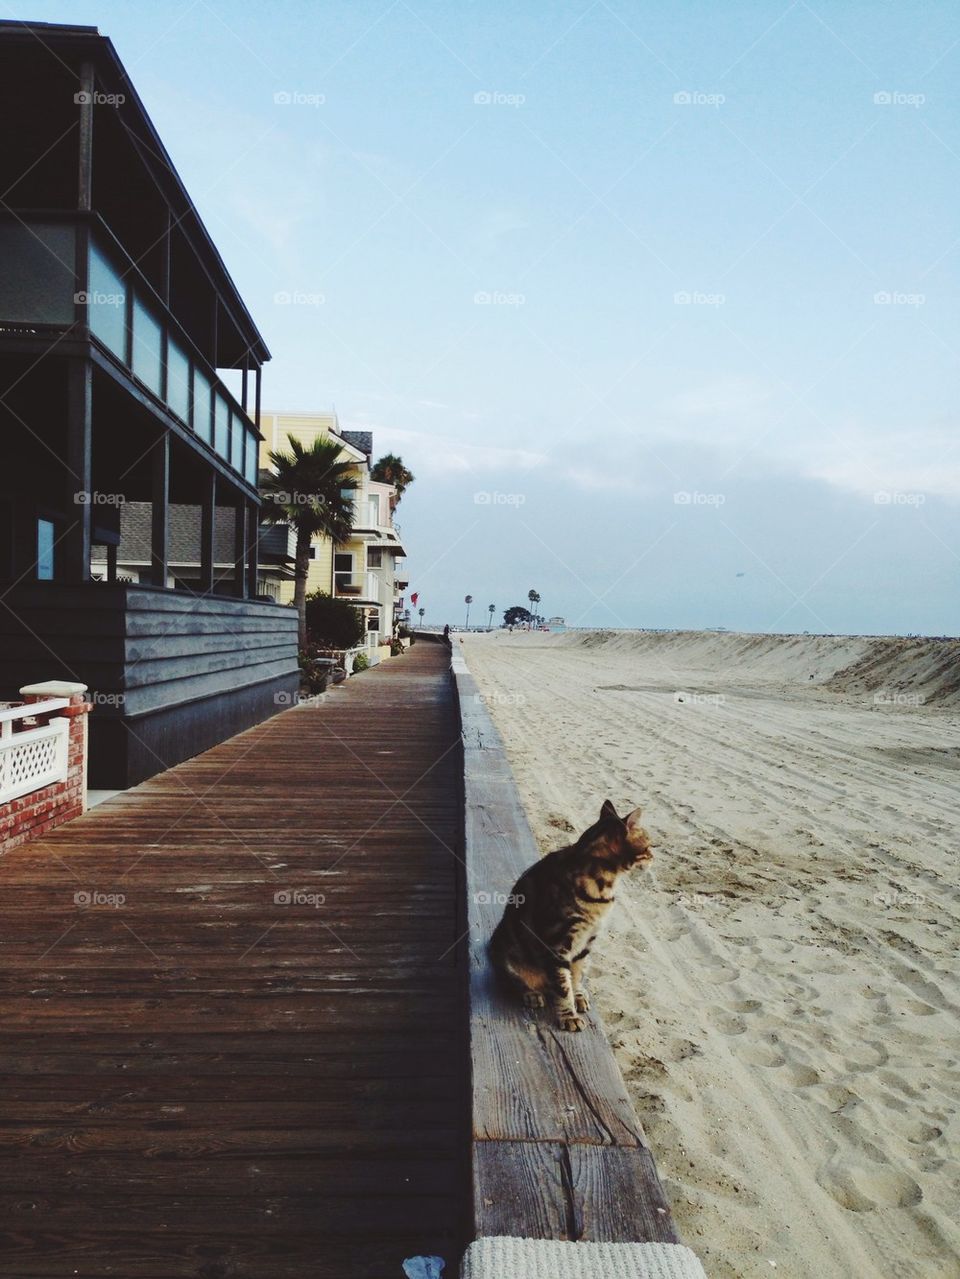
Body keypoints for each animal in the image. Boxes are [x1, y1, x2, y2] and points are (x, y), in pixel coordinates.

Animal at [488, 803, 654, 1033]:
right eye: (648, 847)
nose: (653, 856)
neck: (603, 889)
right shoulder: (557, 944)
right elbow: (563, 987)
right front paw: (569, 1016)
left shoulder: (586, 942)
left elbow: (575, 976)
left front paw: (577, 997)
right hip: (506, 952)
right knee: (516, 981)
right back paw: (532, 994)